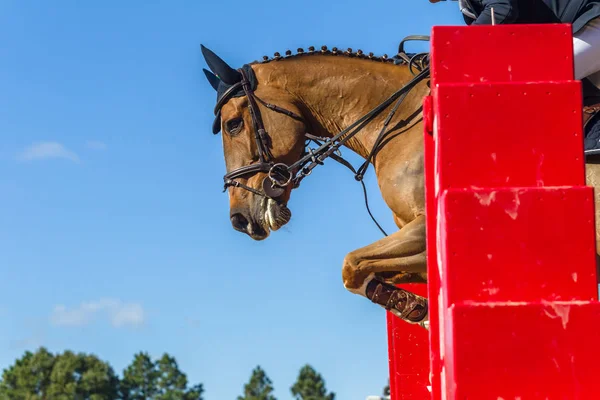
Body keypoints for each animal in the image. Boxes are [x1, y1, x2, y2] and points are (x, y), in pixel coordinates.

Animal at [199, 43, 600, 328]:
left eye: (233, 124)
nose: (239, 219)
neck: (397, 122)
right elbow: (367, 268)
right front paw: (416, 306)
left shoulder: (427, 229)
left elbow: (352, 264)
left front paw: (414, 308)